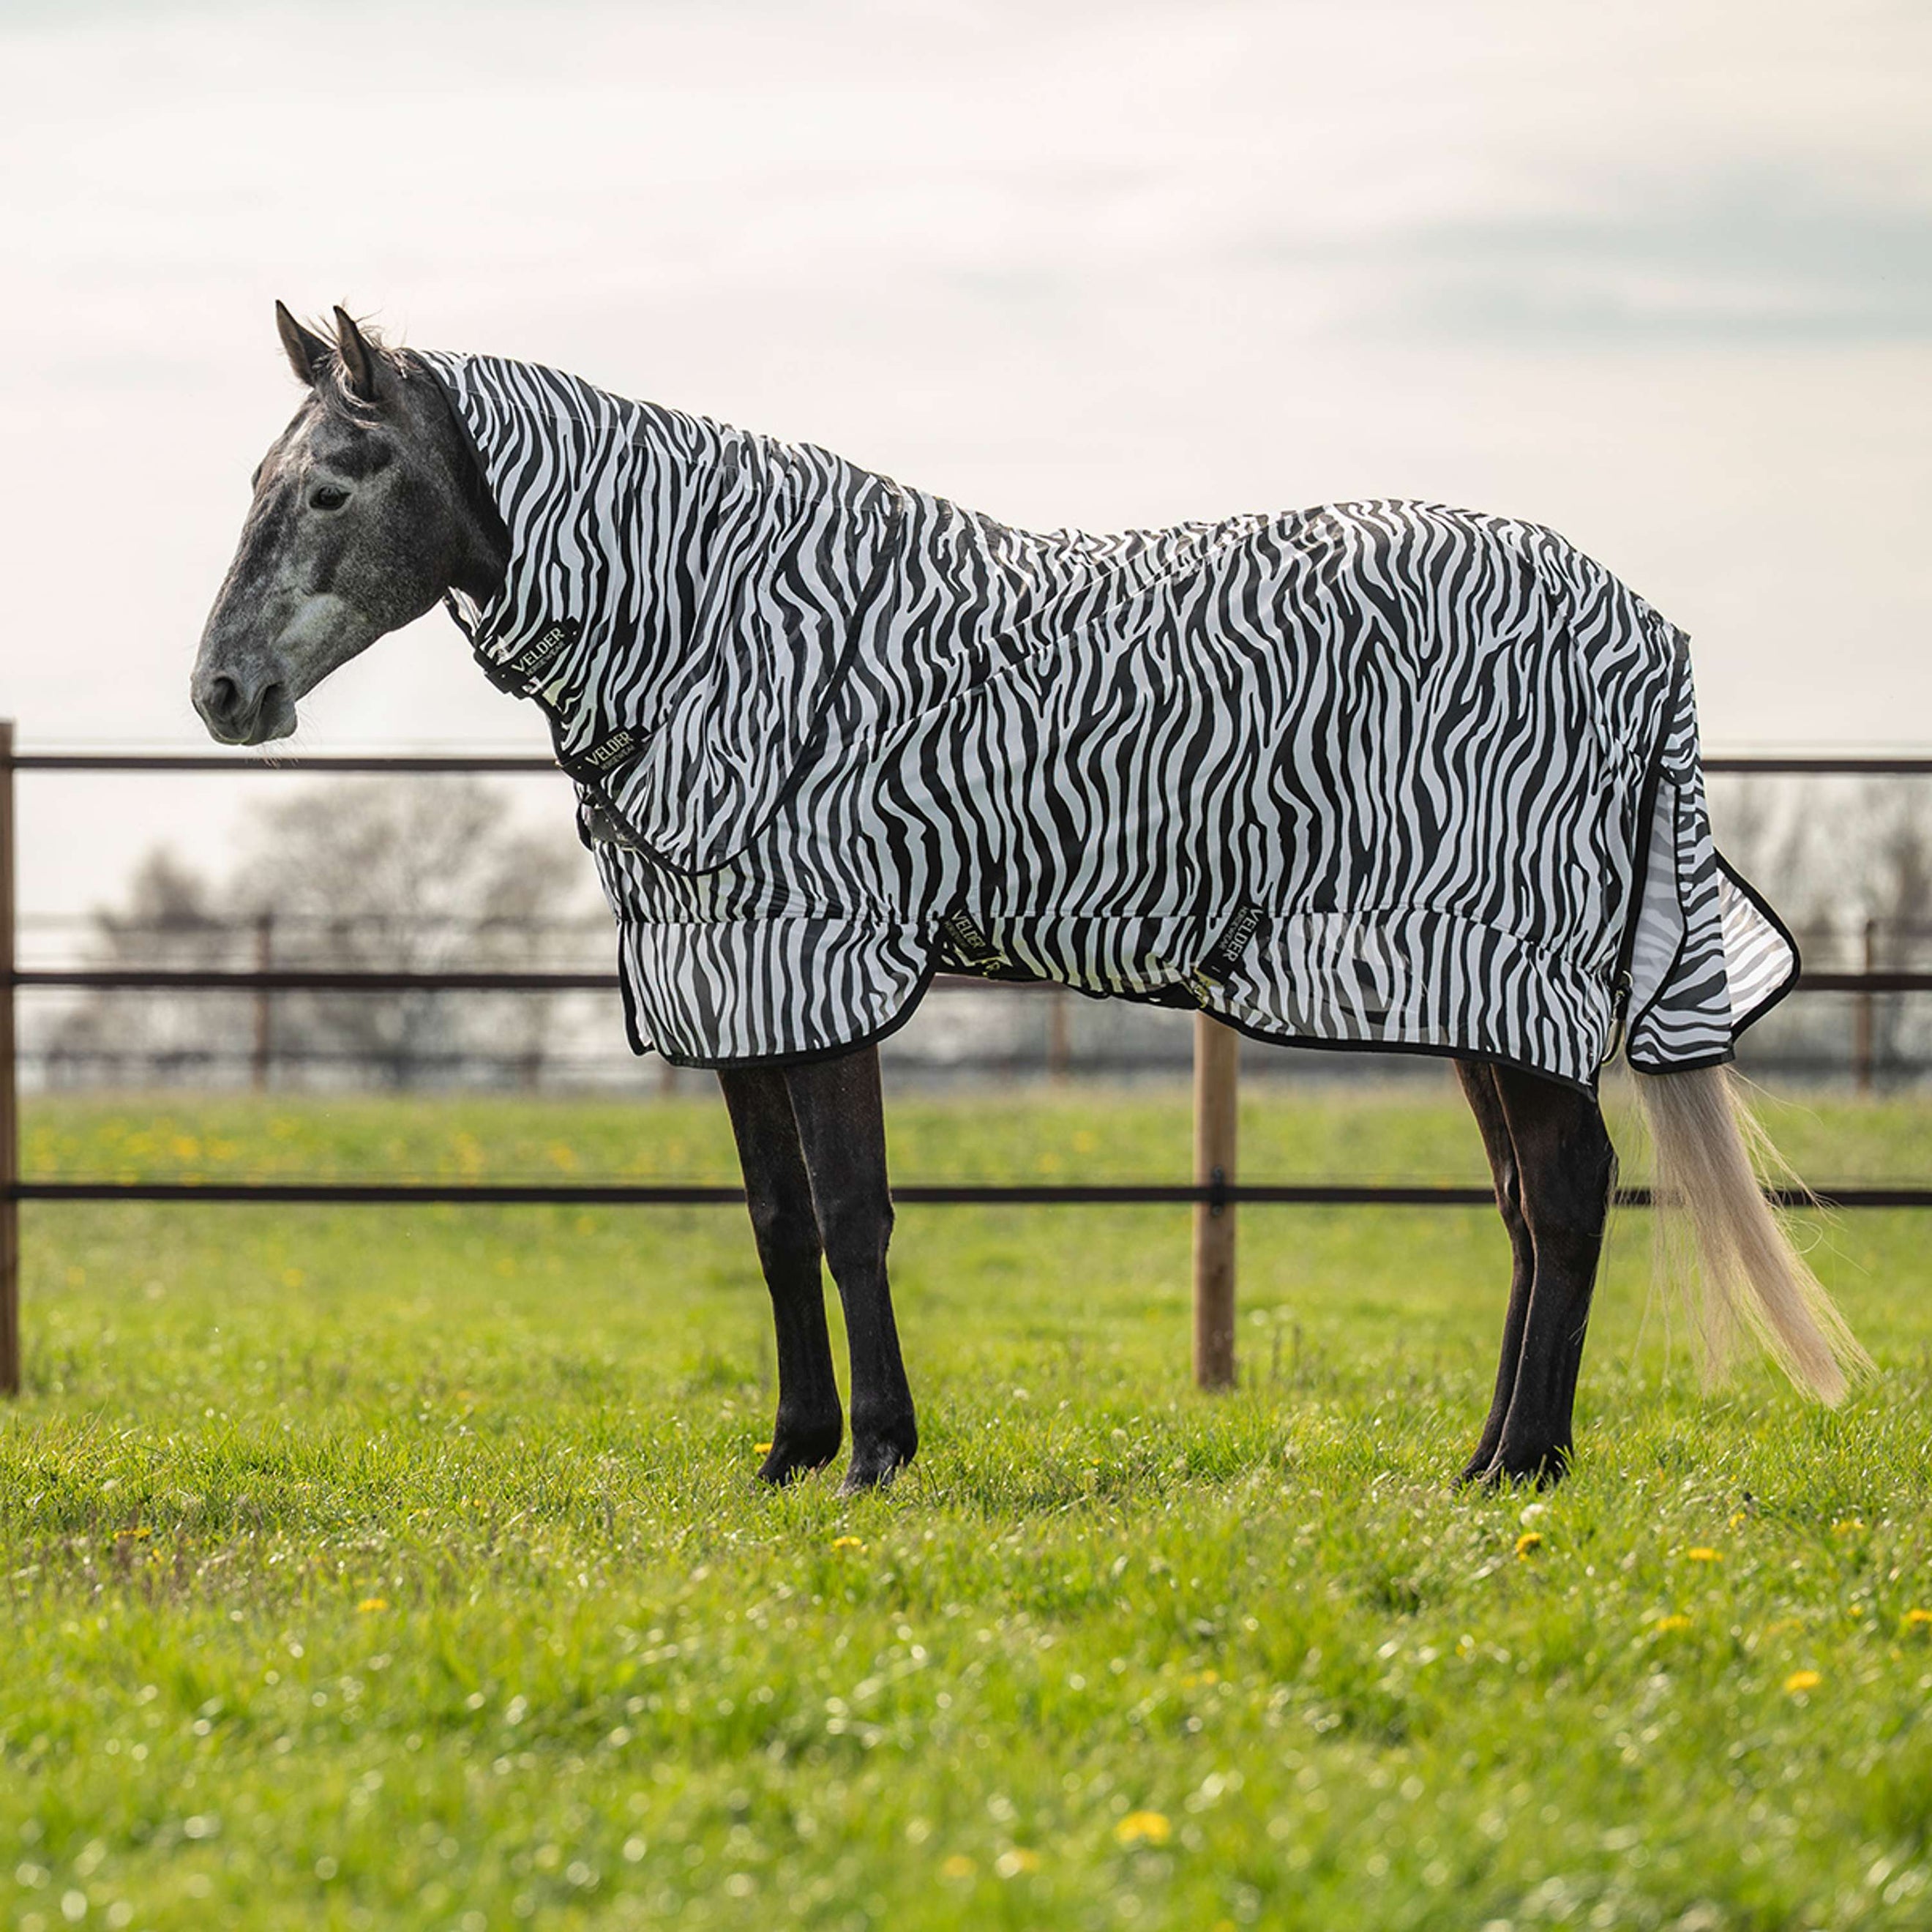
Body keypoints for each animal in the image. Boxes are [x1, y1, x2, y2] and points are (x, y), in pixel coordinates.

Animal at [191, 304, 1868, 1491]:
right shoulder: (726, 975)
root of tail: (1640, 625)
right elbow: (774, 1222)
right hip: (1471, 994)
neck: (728, 632)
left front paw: (877, 1455)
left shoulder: (823, 963)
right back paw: (1490, 1461)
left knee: (1570, 1192)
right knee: (1535, 1202)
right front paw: (790, 1450)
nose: (221, 694)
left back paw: (1524, 1469)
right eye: (259, 481)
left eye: (333, 487)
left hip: (1498, 978)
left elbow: (851, 1215)